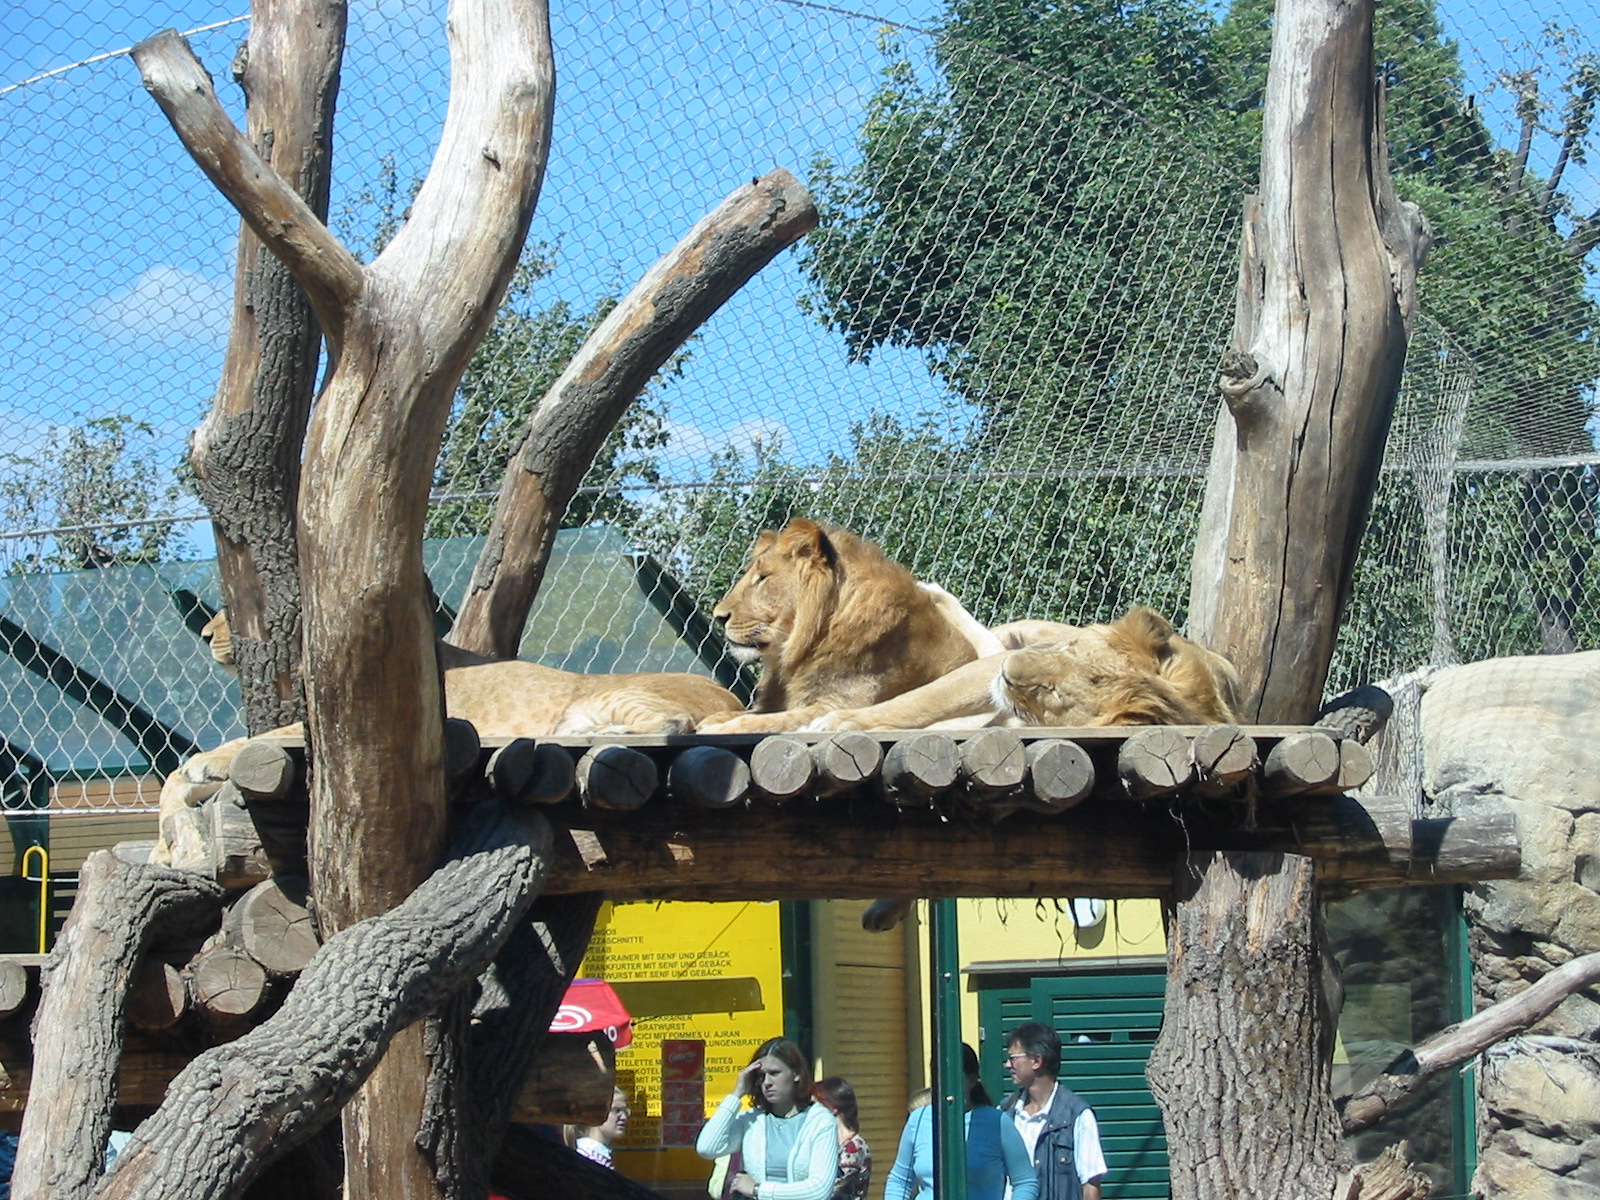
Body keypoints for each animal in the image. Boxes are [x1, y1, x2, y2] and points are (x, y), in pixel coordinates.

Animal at [696, 519, 981, 734]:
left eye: (763, 578)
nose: (718, 616)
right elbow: (755, 712)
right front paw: (715, 719)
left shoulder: (837, 704)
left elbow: (770, 721)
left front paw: (722, 727)